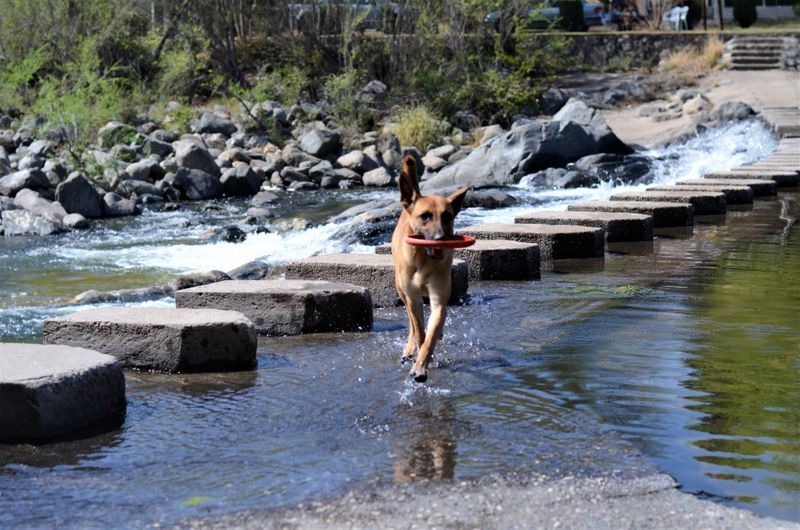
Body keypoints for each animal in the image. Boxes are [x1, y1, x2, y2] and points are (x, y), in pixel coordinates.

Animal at [390, 155, 466, 382]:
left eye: (447, 216)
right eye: (425, 216)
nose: (440, 238)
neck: (424, 261)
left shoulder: (439, 300)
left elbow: (430, 336)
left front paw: (421, 366)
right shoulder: (413, 298)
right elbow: (420, 331)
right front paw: (417, 357)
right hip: (401, 290)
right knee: (411, 323)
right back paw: (408, 350)